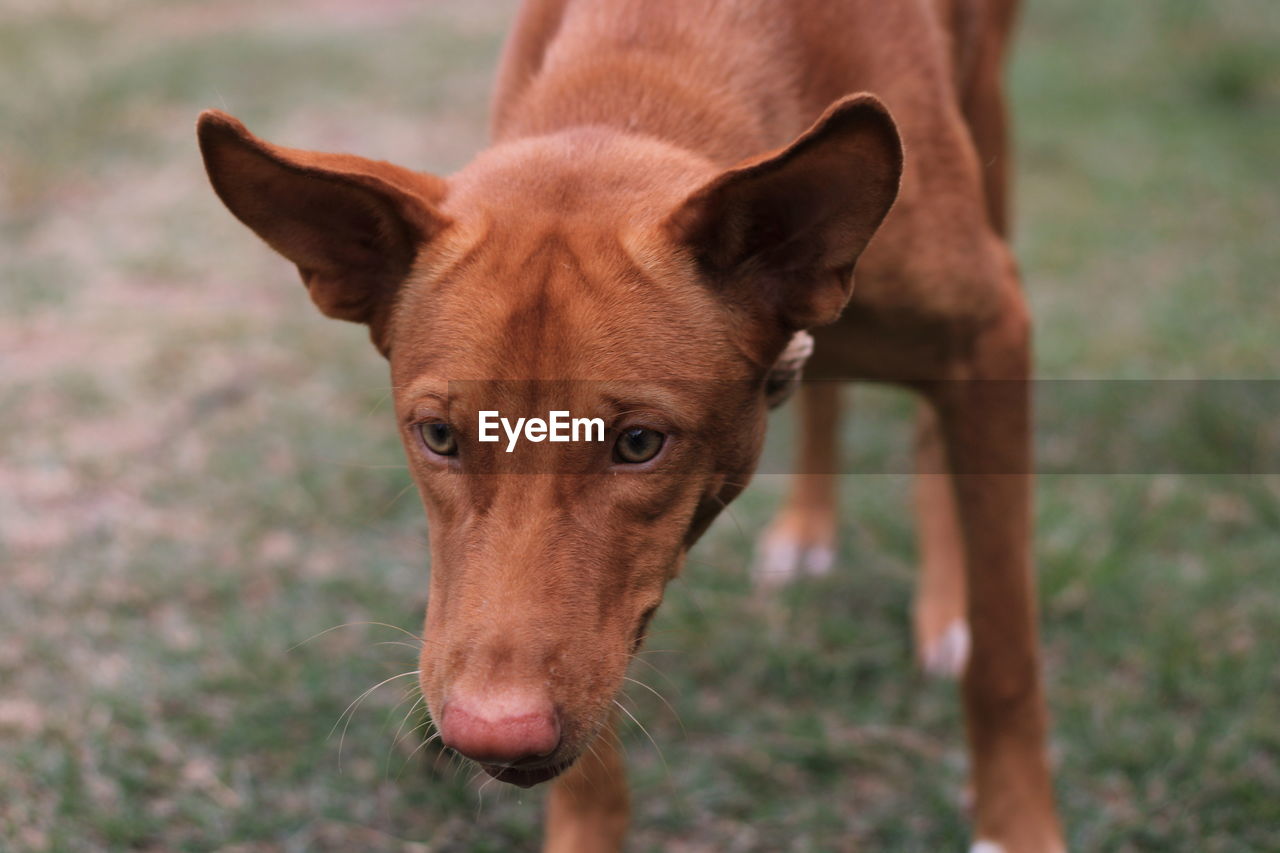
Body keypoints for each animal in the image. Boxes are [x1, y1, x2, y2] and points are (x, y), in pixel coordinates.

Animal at [197, 1, 1059, 850]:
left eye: (639, 444)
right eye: (438, 436)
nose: (488, 735)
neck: (651, 57)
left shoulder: (993, 337)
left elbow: (1007, 648)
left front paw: (1016, 827)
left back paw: (943, 605)